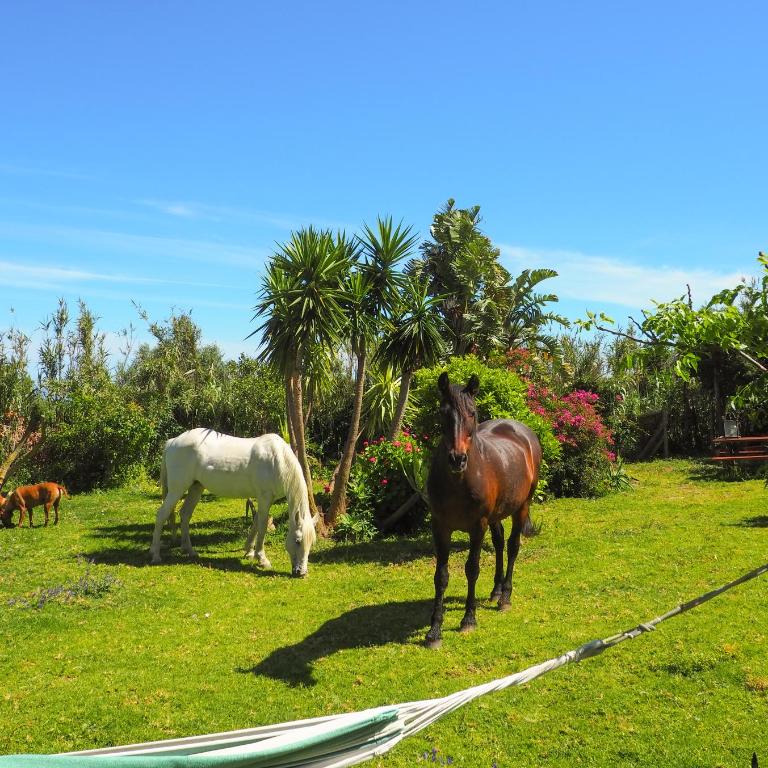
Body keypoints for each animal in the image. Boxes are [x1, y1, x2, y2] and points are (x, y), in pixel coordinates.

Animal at [149, 428, 317, 577]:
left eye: (311, 543)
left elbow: (256, 523)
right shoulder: (264, 498)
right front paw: (262, 559)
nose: (301, 573)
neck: (277, 460)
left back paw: (189, 550)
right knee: (161, 515)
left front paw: (249, 551)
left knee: (185, 514)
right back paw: (155, 555)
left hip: (196, 487)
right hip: (177, 489)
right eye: (297, 541)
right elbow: (262, 526)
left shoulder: (265, 499)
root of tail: (173, 441)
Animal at [424, 372, 542, 648]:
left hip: (522, 507)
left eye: (472, 413)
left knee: (512, 546)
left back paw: (505, 597)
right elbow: (441, 575)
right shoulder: (440, 527)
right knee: (499, 543)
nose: (457, 459)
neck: (459, 481)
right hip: (496, 516)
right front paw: (435, 630)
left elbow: (472, 569)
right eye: (443, 412)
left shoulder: (477, 526)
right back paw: (496, 590)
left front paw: (468, 619)